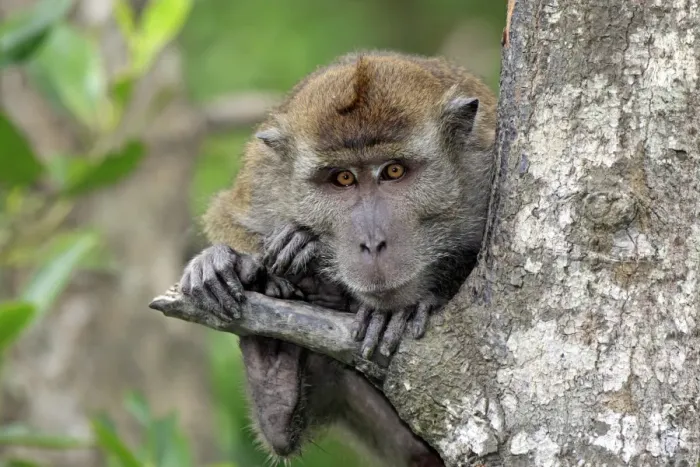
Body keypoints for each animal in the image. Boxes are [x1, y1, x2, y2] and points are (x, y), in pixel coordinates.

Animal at [180, 51, 496, 466]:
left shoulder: (485, 169)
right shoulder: (263, 181)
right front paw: (223, 262)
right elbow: (225, 216)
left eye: (393, 170)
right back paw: (274, 371)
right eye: (342, 178)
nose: (373, 242)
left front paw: (403, 309)